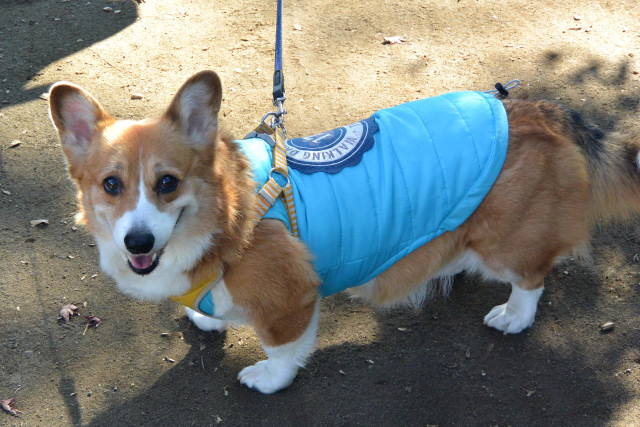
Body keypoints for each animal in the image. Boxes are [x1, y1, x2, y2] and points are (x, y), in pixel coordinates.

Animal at [48, 71, 640, 394]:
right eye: (111, 185)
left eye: (167, 183)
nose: (138, 243)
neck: (225, 216)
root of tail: (538, 110)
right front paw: (205, 316)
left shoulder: (291, 300)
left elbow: (282, 350)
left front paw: (268, 378)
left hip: (507, 242)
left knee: (532, 276)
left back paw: (514, 315)